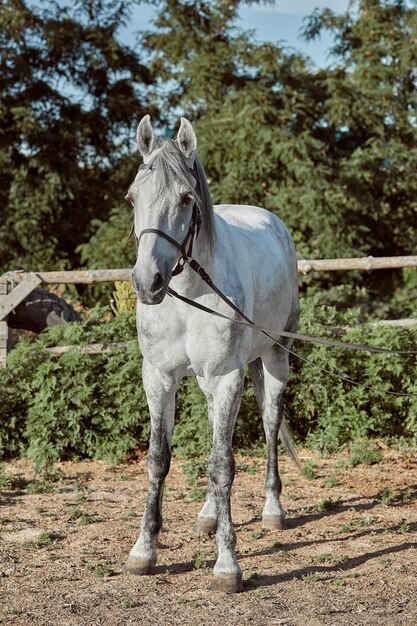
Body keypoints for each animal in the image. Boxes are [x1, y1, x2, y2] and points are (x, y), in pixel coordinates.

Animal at [124, 116, 300, 588]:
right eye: (132, 198)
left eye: (186, 199)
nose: (147, 282)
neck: (189, 295)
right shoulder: (159, 377)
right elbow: (157, 460)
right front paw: (143, 551)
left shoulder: (227, 377)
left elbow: (223, 464)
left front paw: (227, 565)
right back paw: (207, 514)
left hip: (274, 358)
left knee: (270, 423)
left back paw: (273, 510)